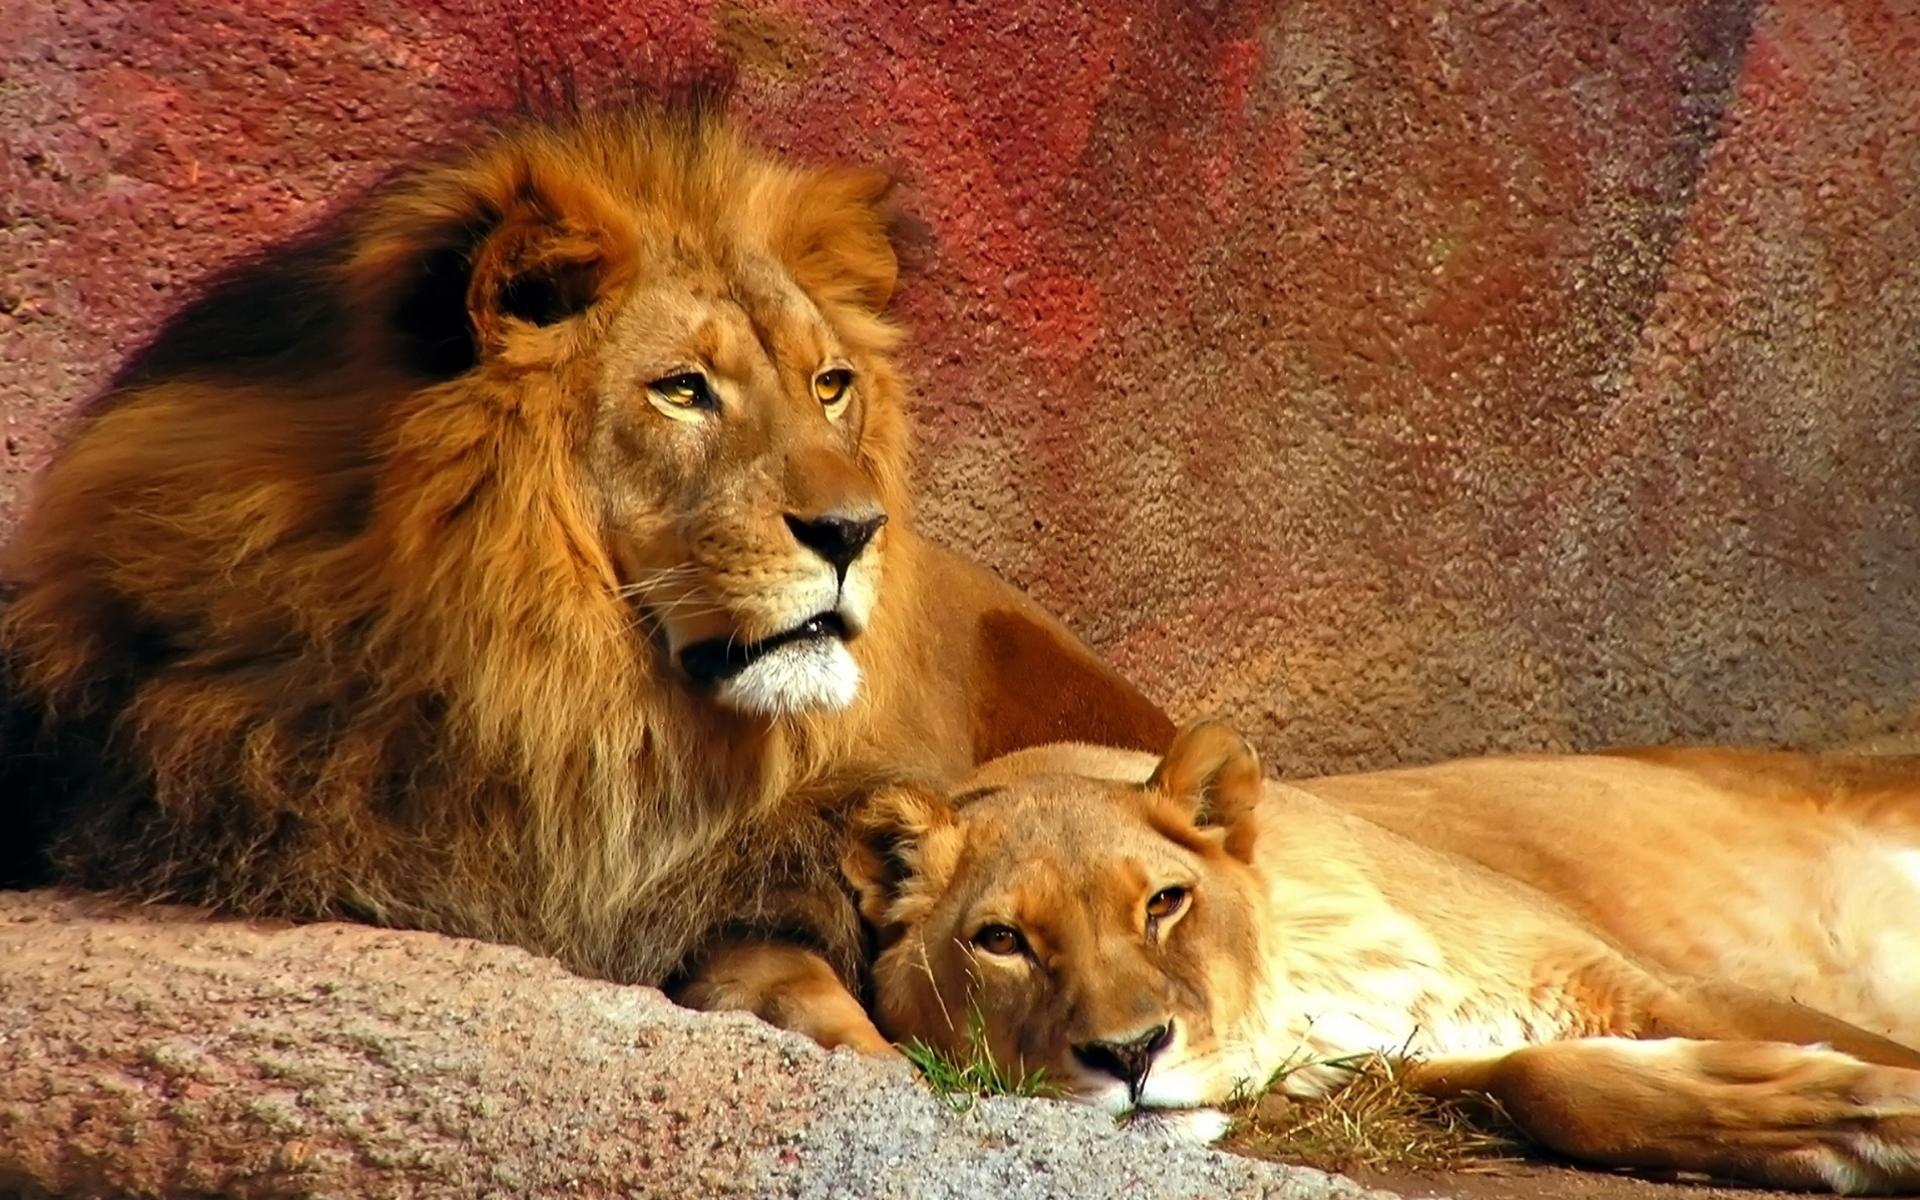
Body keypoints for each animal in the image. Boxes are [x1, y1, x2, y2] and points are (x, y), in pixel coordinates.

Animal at [809, 721, 1920, 1191]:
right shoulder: (1409, 1063)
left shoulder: (1643, 980)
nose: (1128, 1056)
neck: (1312, 981)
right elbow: (1550, 1083)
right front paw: (1844, 1121)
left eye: (1165, 902)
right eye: (1001, 940)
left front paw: (1880, 1104)